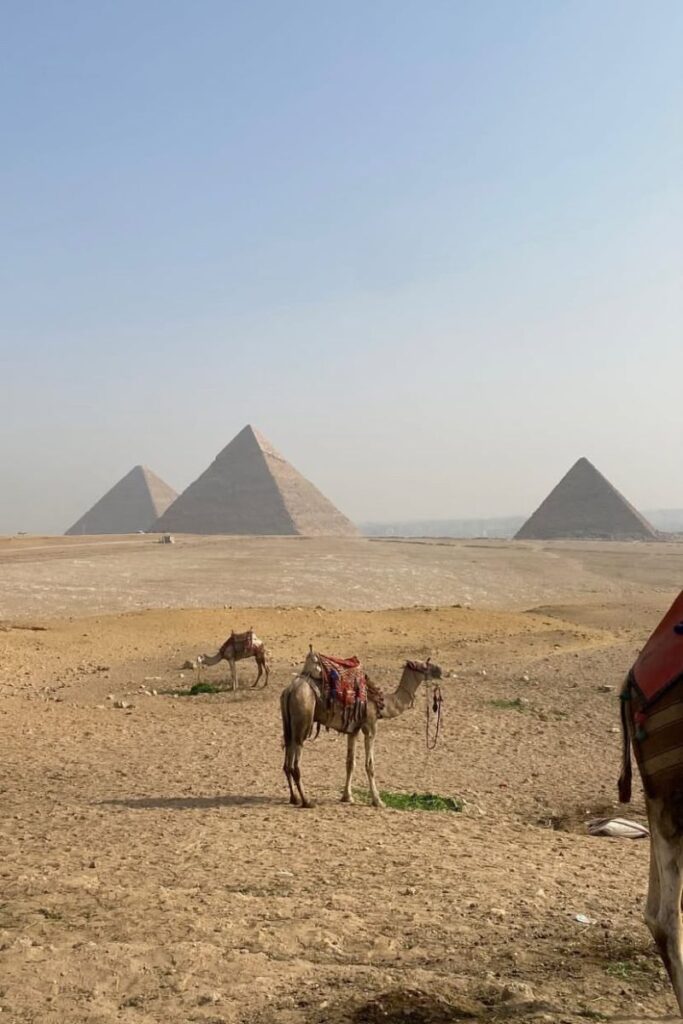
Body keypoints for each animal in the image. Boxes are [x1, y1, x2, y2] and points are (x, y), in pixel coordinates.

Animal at [280, 649, 442, 808]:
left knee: (287, 761)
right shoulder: (370, 727)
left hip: (288, 724)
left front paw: (347, 797)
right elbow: (370, 765)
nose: (440, 670)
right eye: (424, 666)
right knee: (296, 764)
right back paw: (307, 801)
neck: (382, 704)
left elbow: (350, 763)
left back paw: (294, 798)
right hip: (303, 718)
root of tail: (290, 690)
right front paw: (378, 800)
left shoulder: (353, 730)